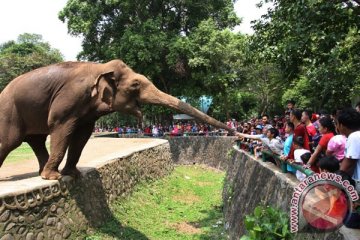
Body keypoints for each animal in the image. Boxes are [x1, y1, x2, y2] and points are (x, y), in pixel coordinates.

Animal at [0, 59, 236, 180]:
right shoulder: (69, 98)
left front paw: (72, 174)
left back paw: (41, 172)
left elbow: (82, 134)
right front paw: (55, 178)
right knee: (10, 142)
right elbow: (60, 126)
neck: (99, 67)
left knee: (36, 140)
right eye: (135, 85)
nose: (235, 133)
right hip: (8, 111)